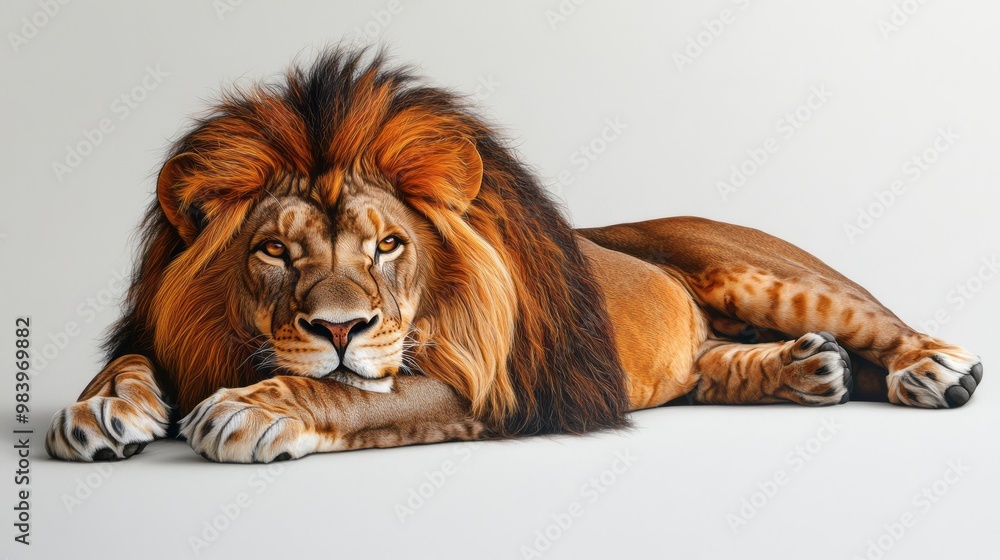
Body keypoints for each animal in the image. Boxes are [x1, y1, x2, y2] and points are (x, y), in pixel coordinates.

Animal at [46, 49, 982, 463]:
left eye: (388, 244)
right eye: (275, 250)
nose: (342, 329)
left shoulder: (494, 380)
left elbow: (352, 396)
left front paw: (254, 410)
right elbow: (129, 359)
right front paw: (102, 411)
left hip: (768, 272)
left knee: (877, 320)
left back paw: (933, 370)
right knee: (717, 362)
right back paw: (807, 371)